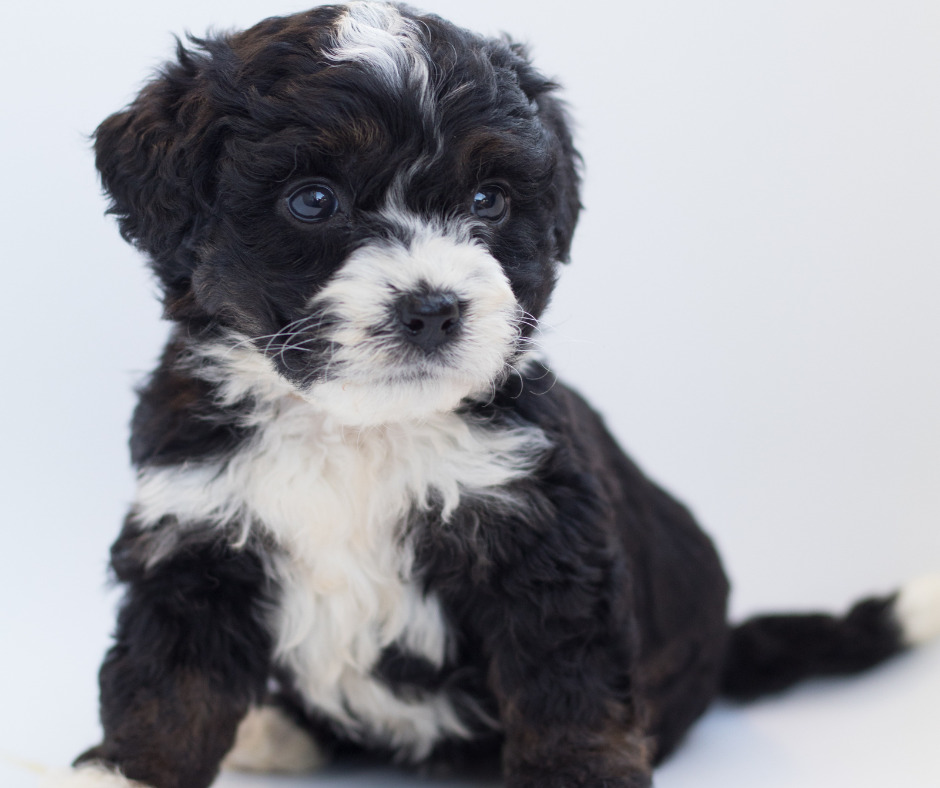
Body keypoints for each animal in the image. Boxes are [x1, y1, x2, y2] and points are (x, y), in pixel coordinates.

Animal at [53, 1, 940, 788]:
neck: (357, 429)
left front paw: (579, 775)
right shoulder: (194, 531)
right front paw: (126, 774)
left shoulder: (542, 538)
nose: (434, 308)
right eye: (312, 200)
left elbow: (567, 687)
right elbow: (169, 683)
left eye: (488, 201)